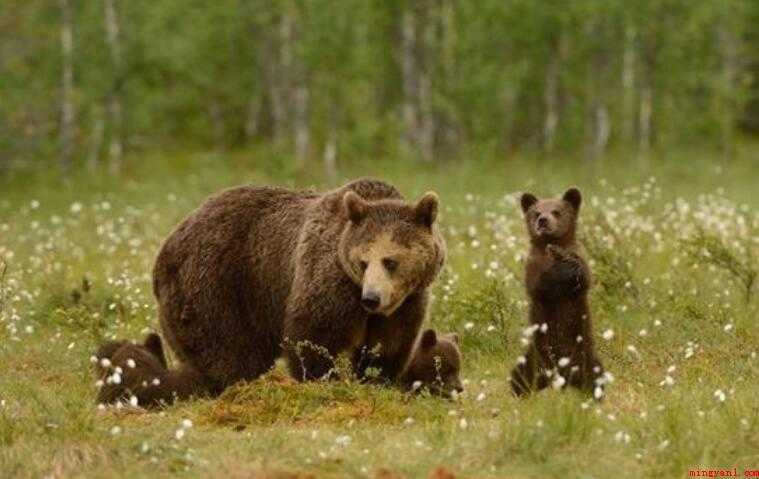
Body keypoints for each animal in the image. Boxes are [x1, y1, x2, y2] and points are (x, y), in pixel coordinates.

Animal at [93, 178, 446, 406]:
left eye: (390, 261)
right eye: (363, 261)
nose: (371, 298)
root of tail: (163, 251)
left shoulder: (406, 302)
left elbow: (389, 345)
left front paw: (377, 380)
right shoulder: (329, 280)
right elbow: (313, 335)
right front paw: (324, 382)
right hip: (215, 288)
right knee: (227, 355)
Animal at [509, 187, 606, 399]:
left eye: (556, 211)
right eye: (536, 212)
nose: (542, 221)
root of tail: (561, 377)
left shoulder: (579, 256)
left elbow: (583, 279)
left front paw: (570, 266)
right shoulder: (533, 266)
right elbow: (537, 286)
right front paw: (560, 270)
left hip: (585, 353)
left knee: (596, 374)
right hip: (535, 355)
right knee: (519, 374)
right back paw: (521, 391)